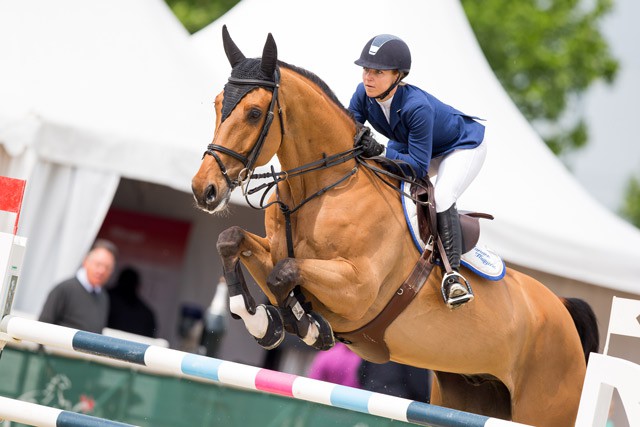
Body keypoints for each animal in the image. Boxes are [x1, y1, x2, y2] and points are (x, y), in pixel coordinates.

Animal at [191, 27, 600, 427]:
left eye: (254, 112)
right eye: (217, 104)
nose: (203, 189)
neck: (320, 190)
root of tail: (561, 308)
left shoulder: (357, 289)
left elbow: (285, 274)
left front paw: (305, 327)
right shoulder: (274, 251)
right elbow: (233, 241)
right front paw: (262, 320)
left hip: (544, 406)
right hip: (468, 395)